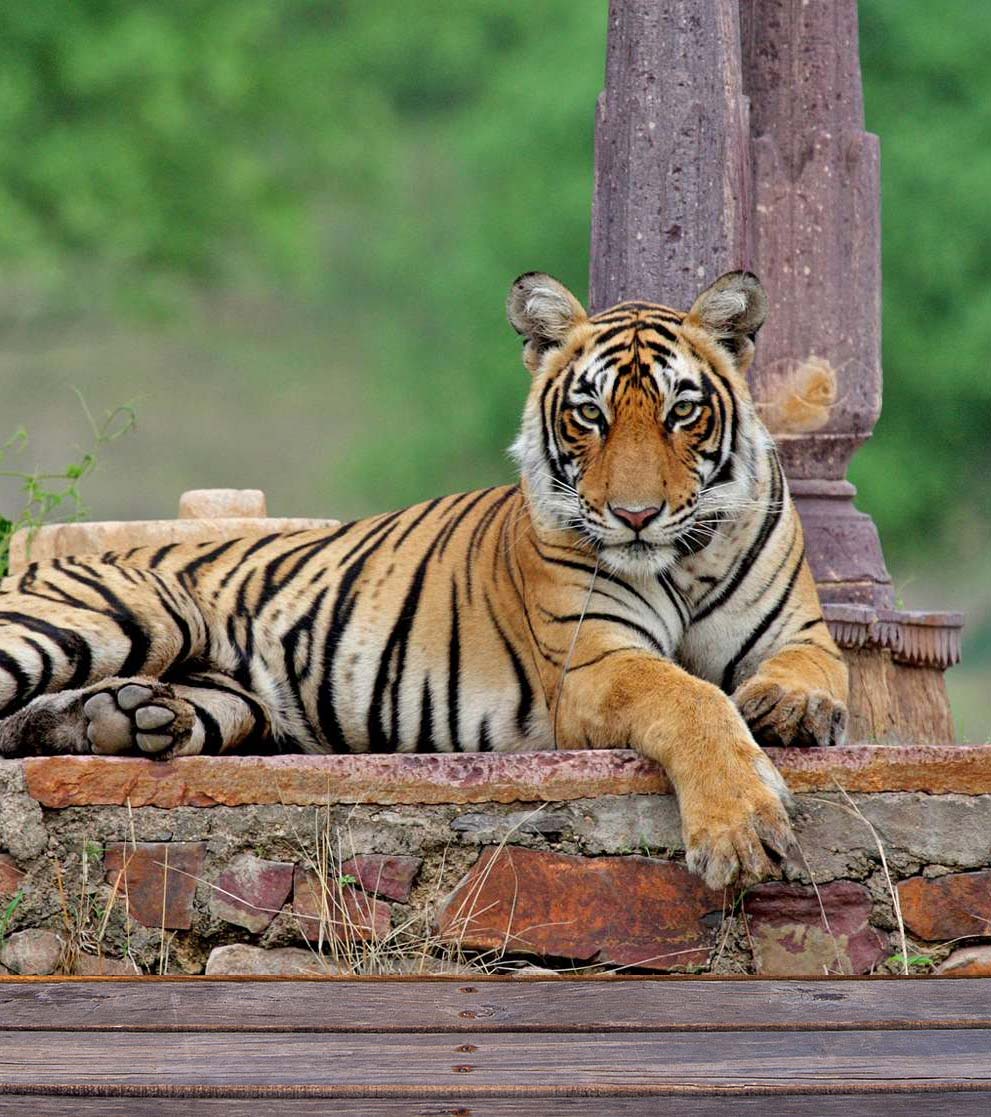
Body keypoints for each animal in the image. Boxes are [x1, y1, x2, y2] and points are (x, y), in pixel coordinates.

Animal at [1, 270, 853, 889]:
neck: (683, 558)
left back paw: (121, 720)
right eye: (590, 414)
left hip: (228, 701)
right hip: (128, 614)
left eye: (681, 411)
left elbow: (810, 671)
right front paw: (741, 829)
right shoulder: (596, 661)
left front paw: (789, 708)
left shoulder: (799, 632)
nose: (635, 515)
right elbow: (692, 699)